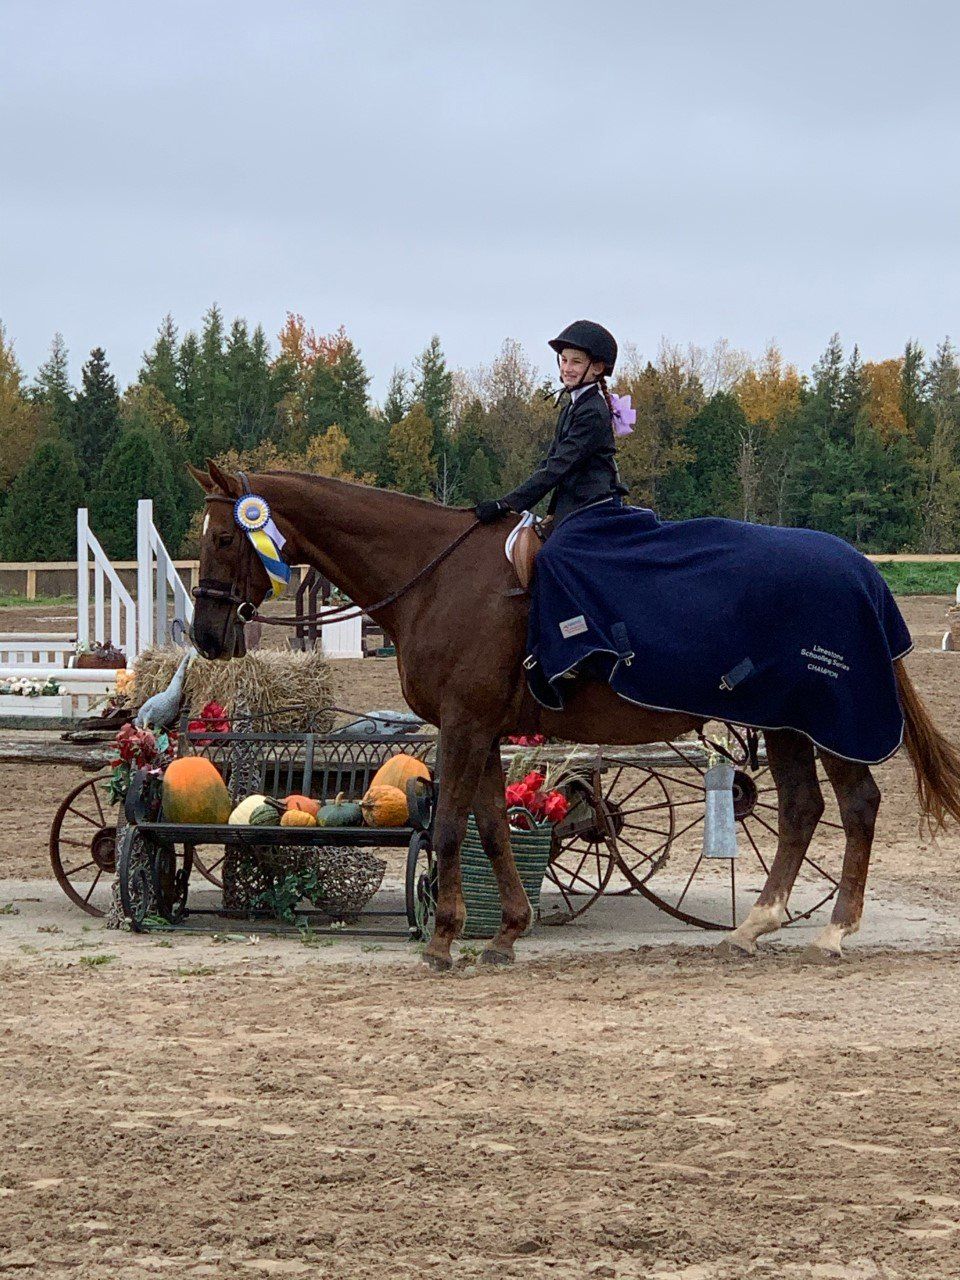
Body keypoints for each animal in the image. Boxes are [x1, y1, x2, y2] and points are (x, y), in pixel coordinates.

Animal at [187, 460, 960, 970]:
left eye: (224, 538)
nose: (207, 636)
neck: (438, 575)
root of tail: (858, 569)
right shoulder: (485, 731)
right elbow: (494, 828)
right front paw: (504, 932)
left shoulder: (462, 725)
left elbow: (448, 829)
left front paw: (442, 940)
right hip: (784, 724)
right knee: (802, 807)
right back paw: (756, 925)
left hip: (826, 721)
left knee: (856, 805)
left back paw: (834, 930)